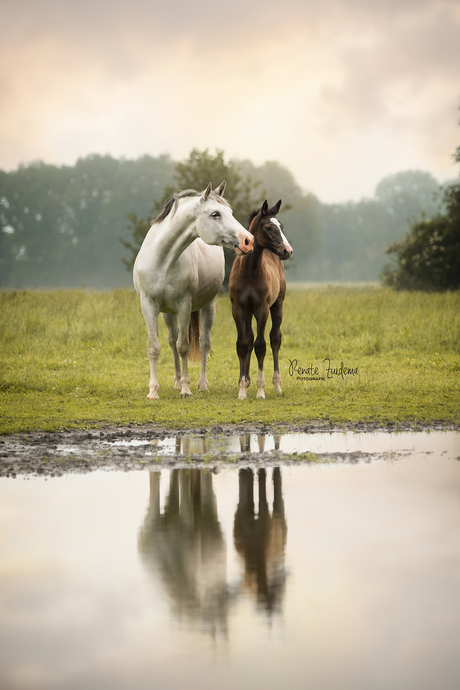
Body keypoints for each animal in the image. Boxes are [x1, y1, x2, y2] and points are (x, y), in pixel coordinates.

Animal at [133, 181, 255, 398]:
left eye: (230, 212)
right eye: (215, 214)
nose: (248, 240)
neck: (162, 260)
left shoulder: (184, 305)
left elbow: (184, 347)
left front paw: (186, 389)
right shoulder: (148, 305)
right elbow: (155, 347)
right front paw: (153, 391)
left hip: (208, 306)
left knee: (204, 343)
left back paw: (202, 384)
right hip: (167, 313)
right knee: (172, 340)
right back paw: (176, 381)